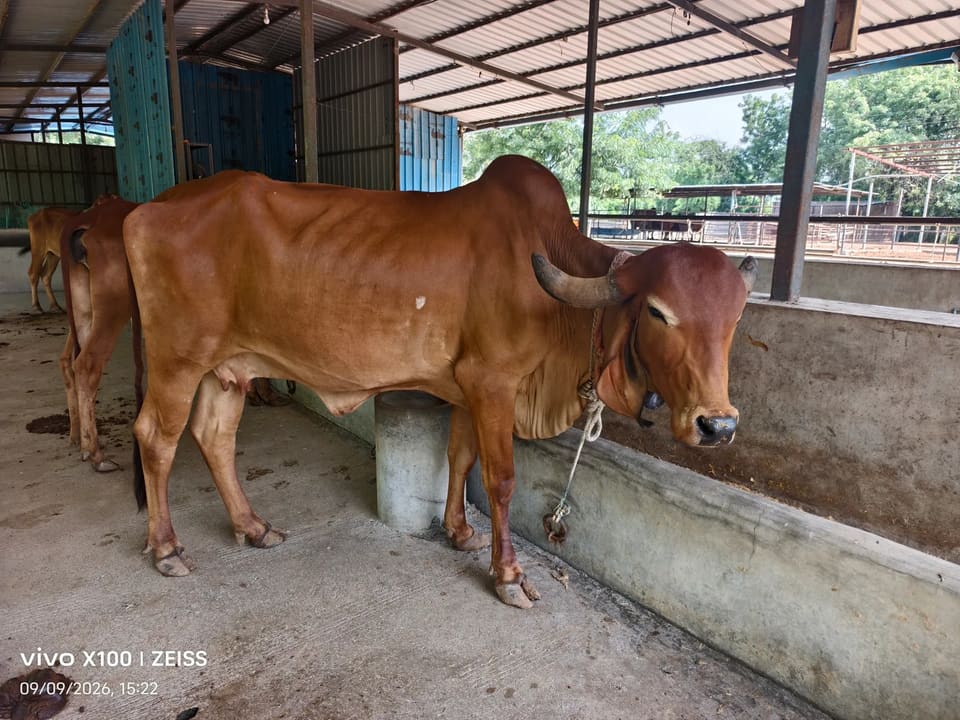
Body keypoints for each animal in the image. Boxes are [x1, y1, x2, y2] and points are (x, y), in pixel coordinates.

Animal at [58, 196, 141, 472]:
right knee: (87, 365)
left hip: (83, 309)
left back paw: (82, 442)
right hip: (113, 307)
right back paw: (95, 455)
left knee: (72, 363)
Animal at [123, 156, 756, 608]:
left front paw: (458, 531)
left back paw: (252, 527)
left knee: (214, 437)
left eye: (735, 318)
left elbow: (460, 459)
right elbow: (500, 479)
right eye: (658, 312)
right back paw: (167, 549)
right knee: (157, 437)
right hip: (178, 359)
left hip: (226, 368)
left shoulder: (467, 390)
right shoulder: (493, 383)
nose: (717, 424)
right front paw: (508, 575)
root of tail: (149, 208)